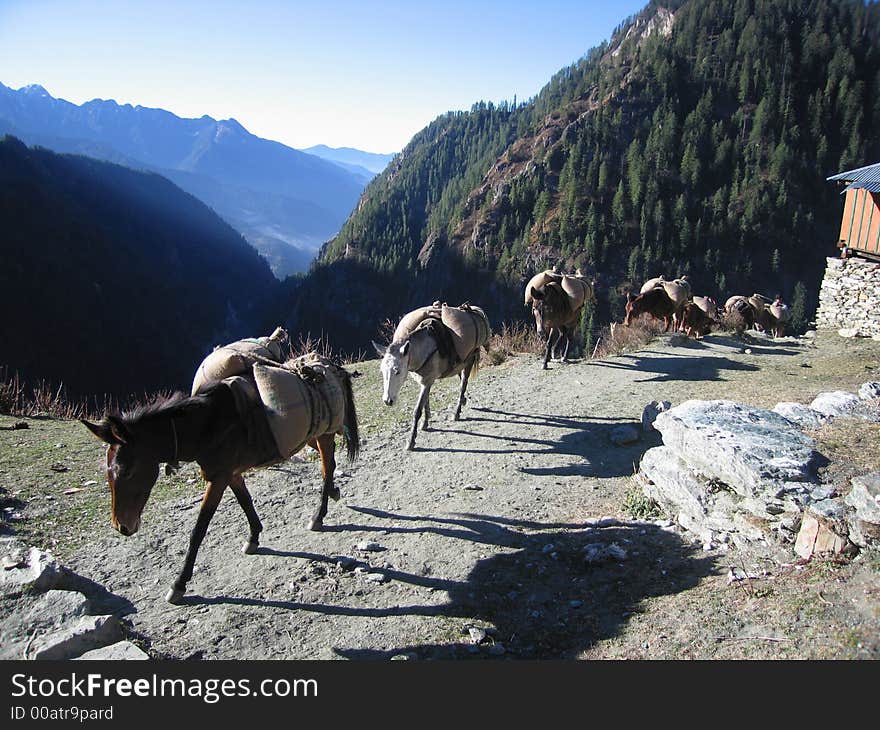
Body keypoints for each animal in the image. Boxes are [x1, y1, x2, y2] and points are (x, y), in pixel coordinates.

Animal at [81, 366, 360, 600]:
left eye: (126, 471)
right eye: (108, 473)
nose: (122, 526)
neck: (207, 426)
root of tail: (333, 368)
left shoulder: (218, 478)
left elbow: (198, 529)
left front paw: (179, 584)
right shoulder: (230, 474)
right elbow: (245, 501)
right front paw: (254, 537)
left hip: (323, 433)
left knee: (327, 467)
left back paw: (319, 515)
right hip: (307, 436)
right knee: (328, 463)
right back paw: (333, 493)